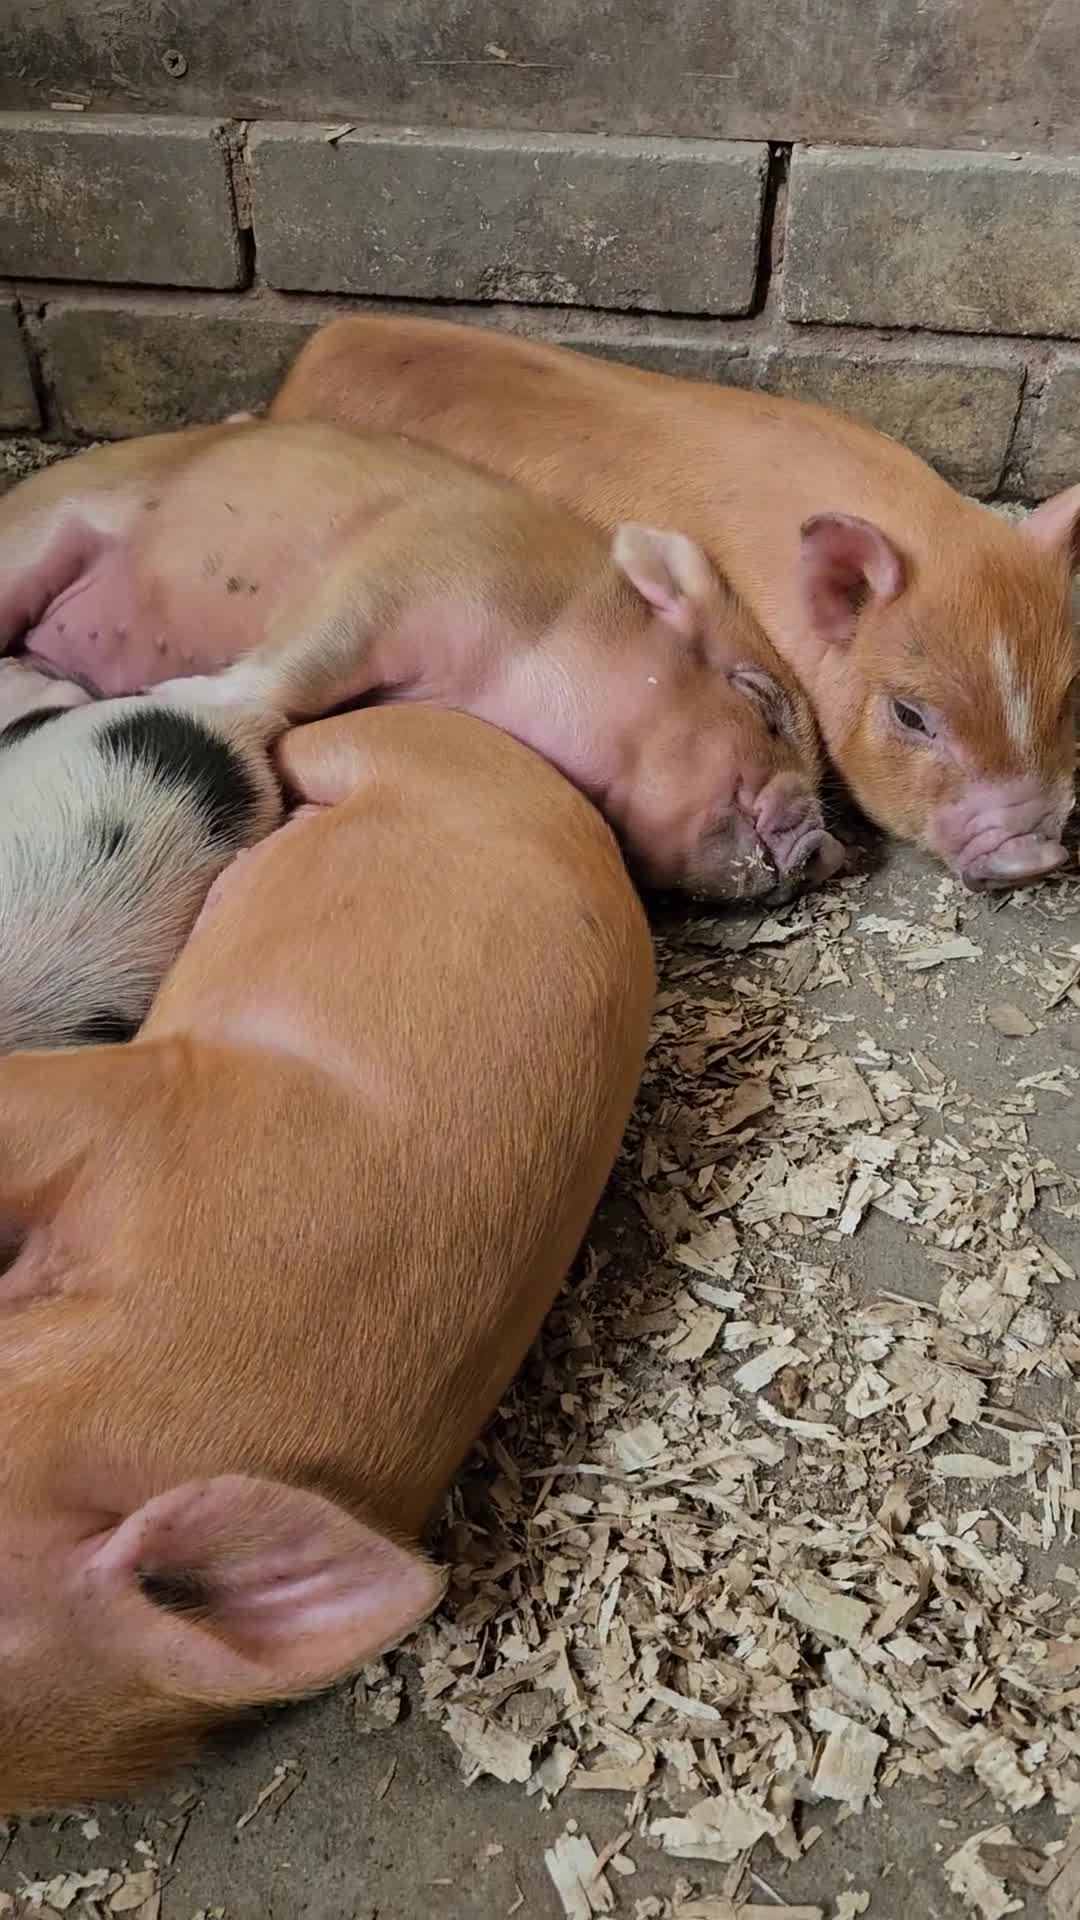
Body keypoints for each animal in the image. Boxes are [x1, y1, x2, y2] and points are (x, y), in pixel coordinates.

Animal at [0, 418, 843, 904]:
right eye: (759, 700)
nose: (822, 847)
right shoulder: (394, 575)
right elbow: (296, 667)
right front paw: (184, 695)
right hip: (39, 538)